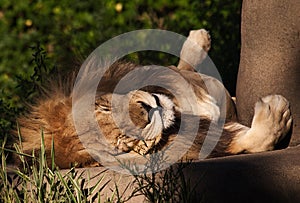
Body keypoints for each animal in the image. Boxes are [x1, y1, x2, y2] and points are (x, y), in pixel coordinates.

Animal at [12, 28, 292, 168]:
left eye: (103, 107)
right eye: (121, 143)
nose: (147, 111)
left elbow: (180, 68)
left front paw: (197, 40)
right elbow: (249, 142)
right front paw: (276, 116)